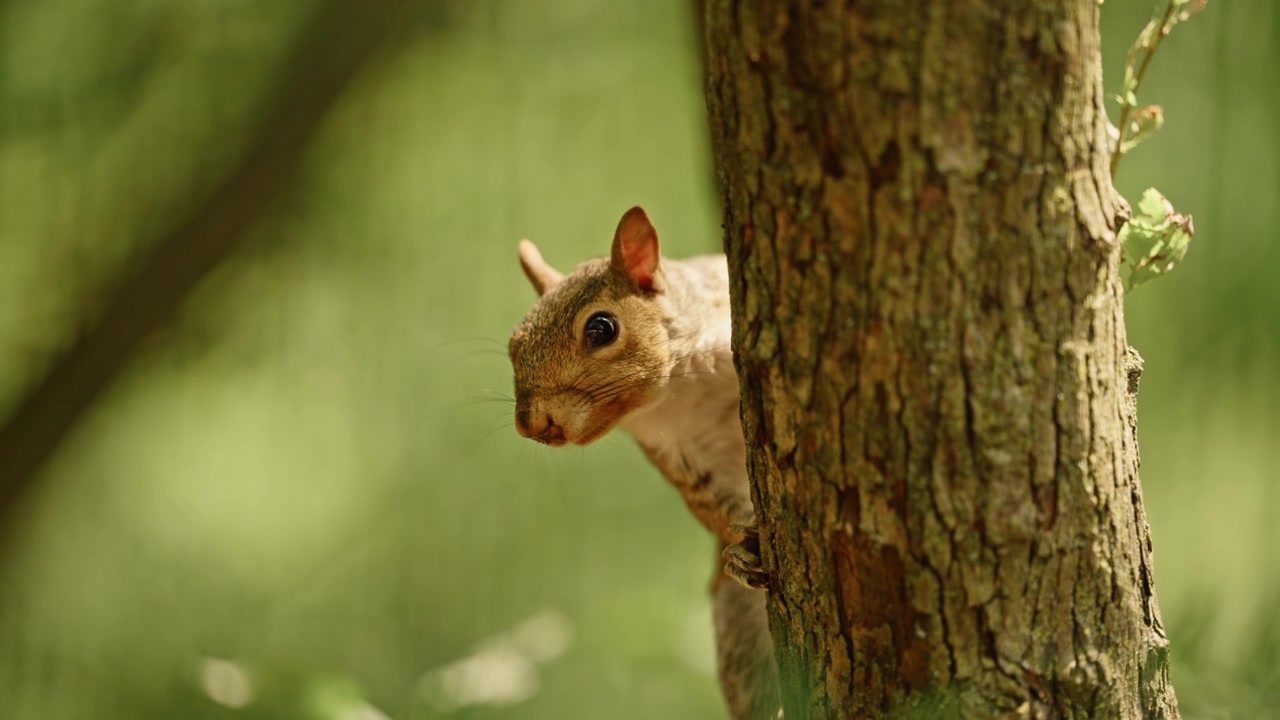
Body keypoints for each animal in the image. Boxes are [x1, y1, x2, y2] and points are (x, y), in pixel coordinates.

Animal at [508, 207, 782, 720]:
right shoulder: (682, 455)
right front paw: (745, 546)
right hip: (739, 625)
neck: (679, 387)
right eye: (514, 345)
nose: (531, 425)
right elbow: (714, 507)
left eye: (601, 328)